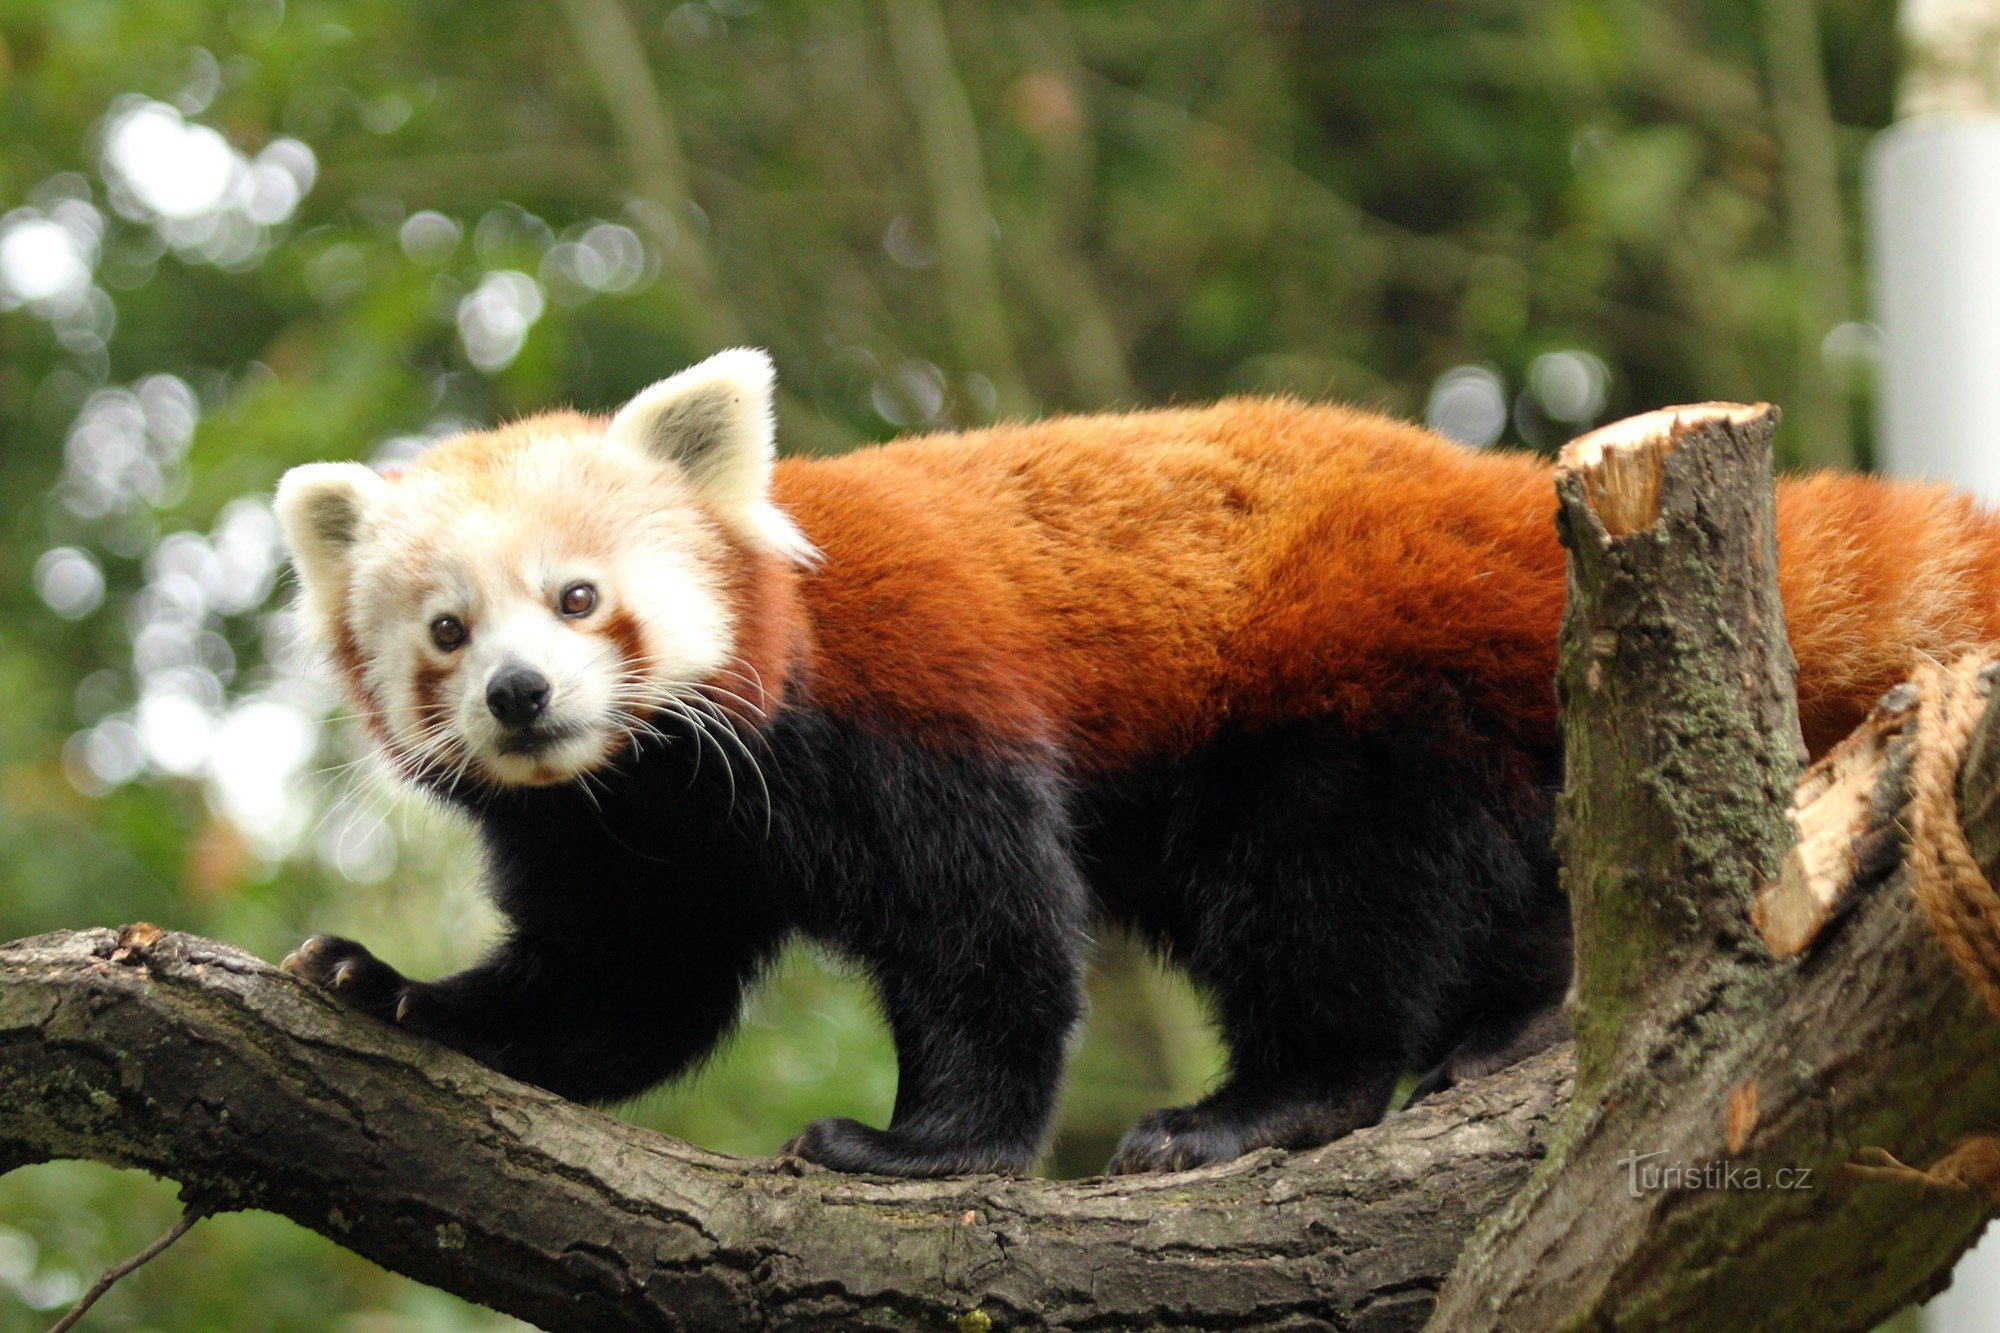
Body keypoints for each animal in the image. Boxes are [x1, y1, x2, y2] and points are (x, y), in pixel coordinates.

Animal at [274, 350, 2000, 1176]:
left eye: (579, 598)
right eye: (445, 630)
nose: (517, 696)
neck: (661, 782)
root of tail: (1503, 495)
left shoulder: (902, 711)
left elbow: (989, 935)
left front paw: (923, 1149)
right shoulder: (633, 837)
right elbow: (625, 988)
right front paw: (393, 989)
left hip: (1345, 694)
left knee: (1329, 906)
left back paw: (1277, 1100)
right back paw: (1516, 1020)